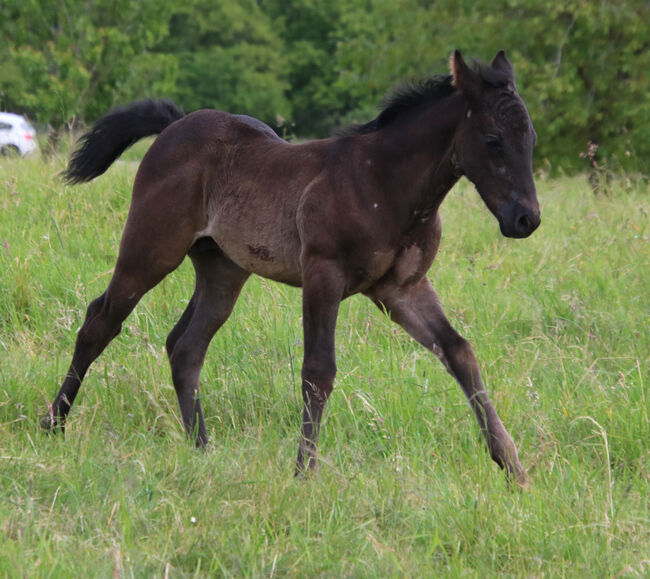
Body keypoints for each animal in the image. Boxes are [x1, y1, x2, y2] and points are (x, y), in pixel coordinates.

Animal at [39, 49, 536, 488]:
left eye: (530, 142)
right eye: (493, 141)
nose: (526, 219)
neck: (383, 183)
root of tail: (175, 126)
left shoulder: (403, 288)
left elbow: (459, 352)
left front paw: (513, 467)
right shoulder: (323, 274)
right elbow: (318, 370)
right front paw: (304, 472)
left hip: (223, 270)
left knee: (185, 346)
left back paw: (201, 447)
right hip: (151, 248)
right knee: (101, 321)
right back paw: (54, 423)